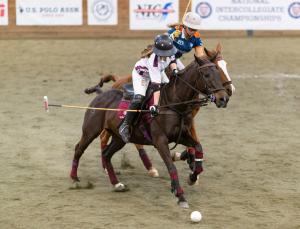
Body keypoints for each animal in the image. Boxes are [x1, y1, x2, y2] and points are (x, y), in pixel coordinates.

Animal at [71, 55, 229, 208]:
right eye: (207, 75)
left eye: (218, 72)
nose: (223, 98)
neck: (173, 104)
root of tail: (100, 94)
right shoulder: (160, 141)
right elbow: (172, 167)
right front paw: (181, 196)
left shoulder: (181, 135)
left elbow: (198, 147)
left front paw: (192, 177)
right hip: (91, 130)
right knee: (79, 148)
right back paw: (74, 179)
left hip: (119, 138)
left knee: (106, 154)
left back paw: (116, 184)